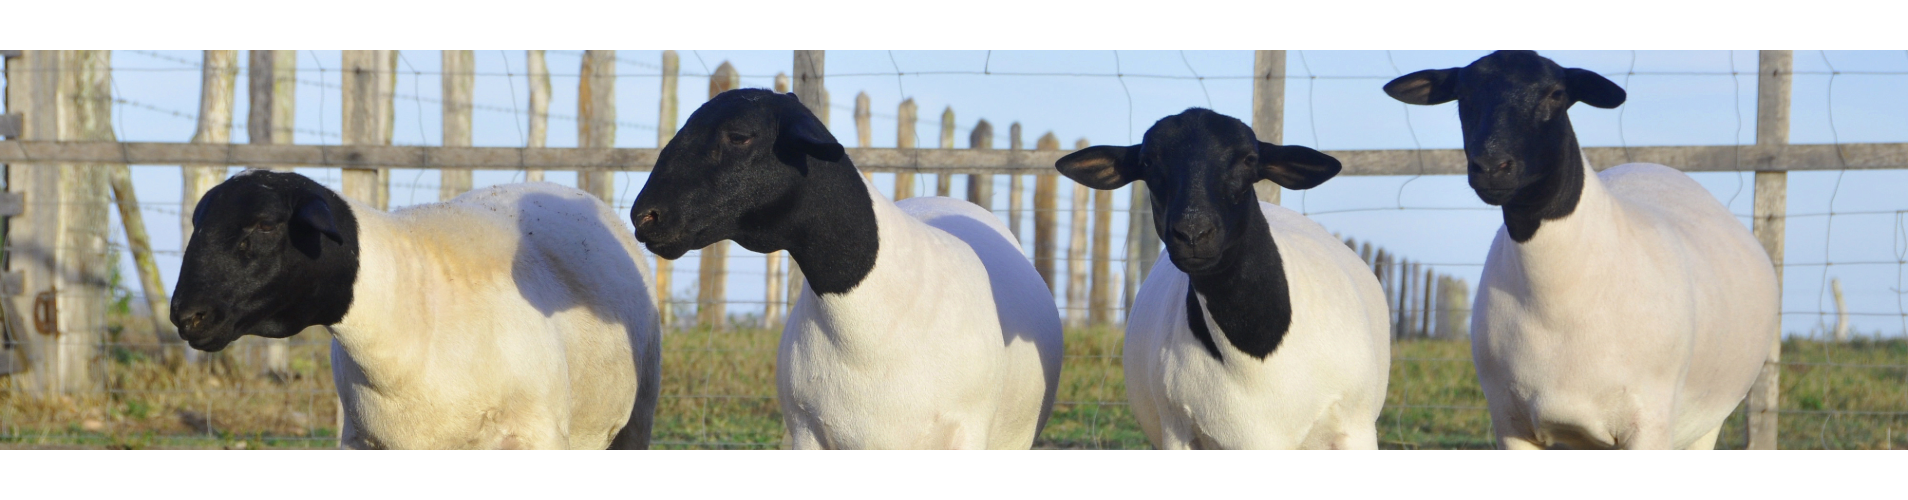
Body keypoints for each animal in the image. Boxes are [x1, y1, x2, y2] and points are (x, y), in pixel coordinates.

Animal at [1055, 108, 1390, 449]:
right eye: (1147, 161)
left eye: (1249, 159)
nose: (1193, 233)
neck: (1255, 353)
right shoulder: (1178, 432)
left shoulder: (1355, 428)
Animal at [1386, 50, 1780, 449]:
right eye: (1462, 96)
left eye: (1556, 94)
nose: (1492, 167)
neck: (1558, 297)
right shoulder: (1510, 421)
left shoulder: (1648, 422)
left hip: (1705, 423)